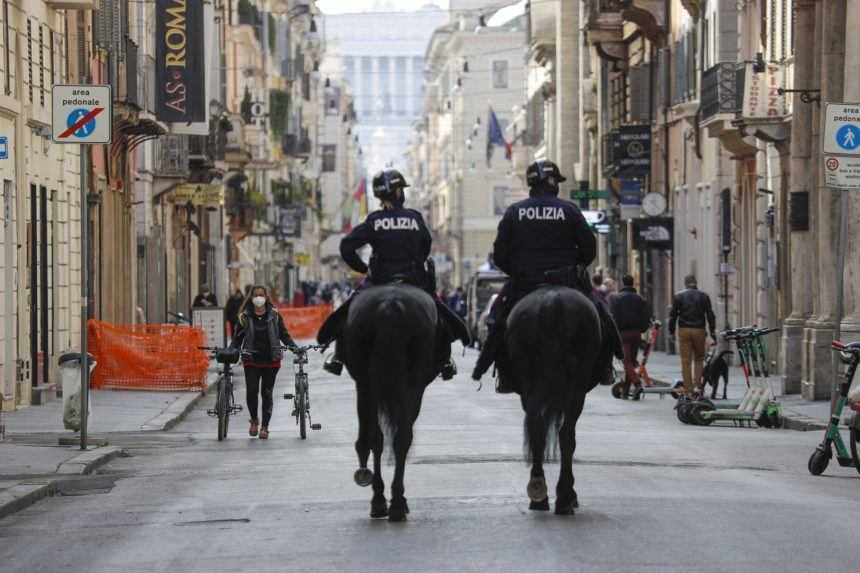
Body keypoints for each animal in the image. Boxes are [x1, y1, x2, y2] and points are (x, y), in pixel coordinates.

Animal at [338, 284, 444, 520]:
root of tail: (390, 304)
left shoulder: (364, 385)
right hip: (408, 384)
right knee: (399, 438)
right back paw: (395, 501)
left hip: (369, 383)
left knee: (378, 438)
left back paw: (381, 500)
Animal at [504, 284, 604, 512]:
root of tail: (552, 303)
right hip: (577, 385)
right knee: (566, 435)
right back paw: (565, 497)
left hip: (528, 379)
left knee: (537, 430)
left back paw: (538, 492)